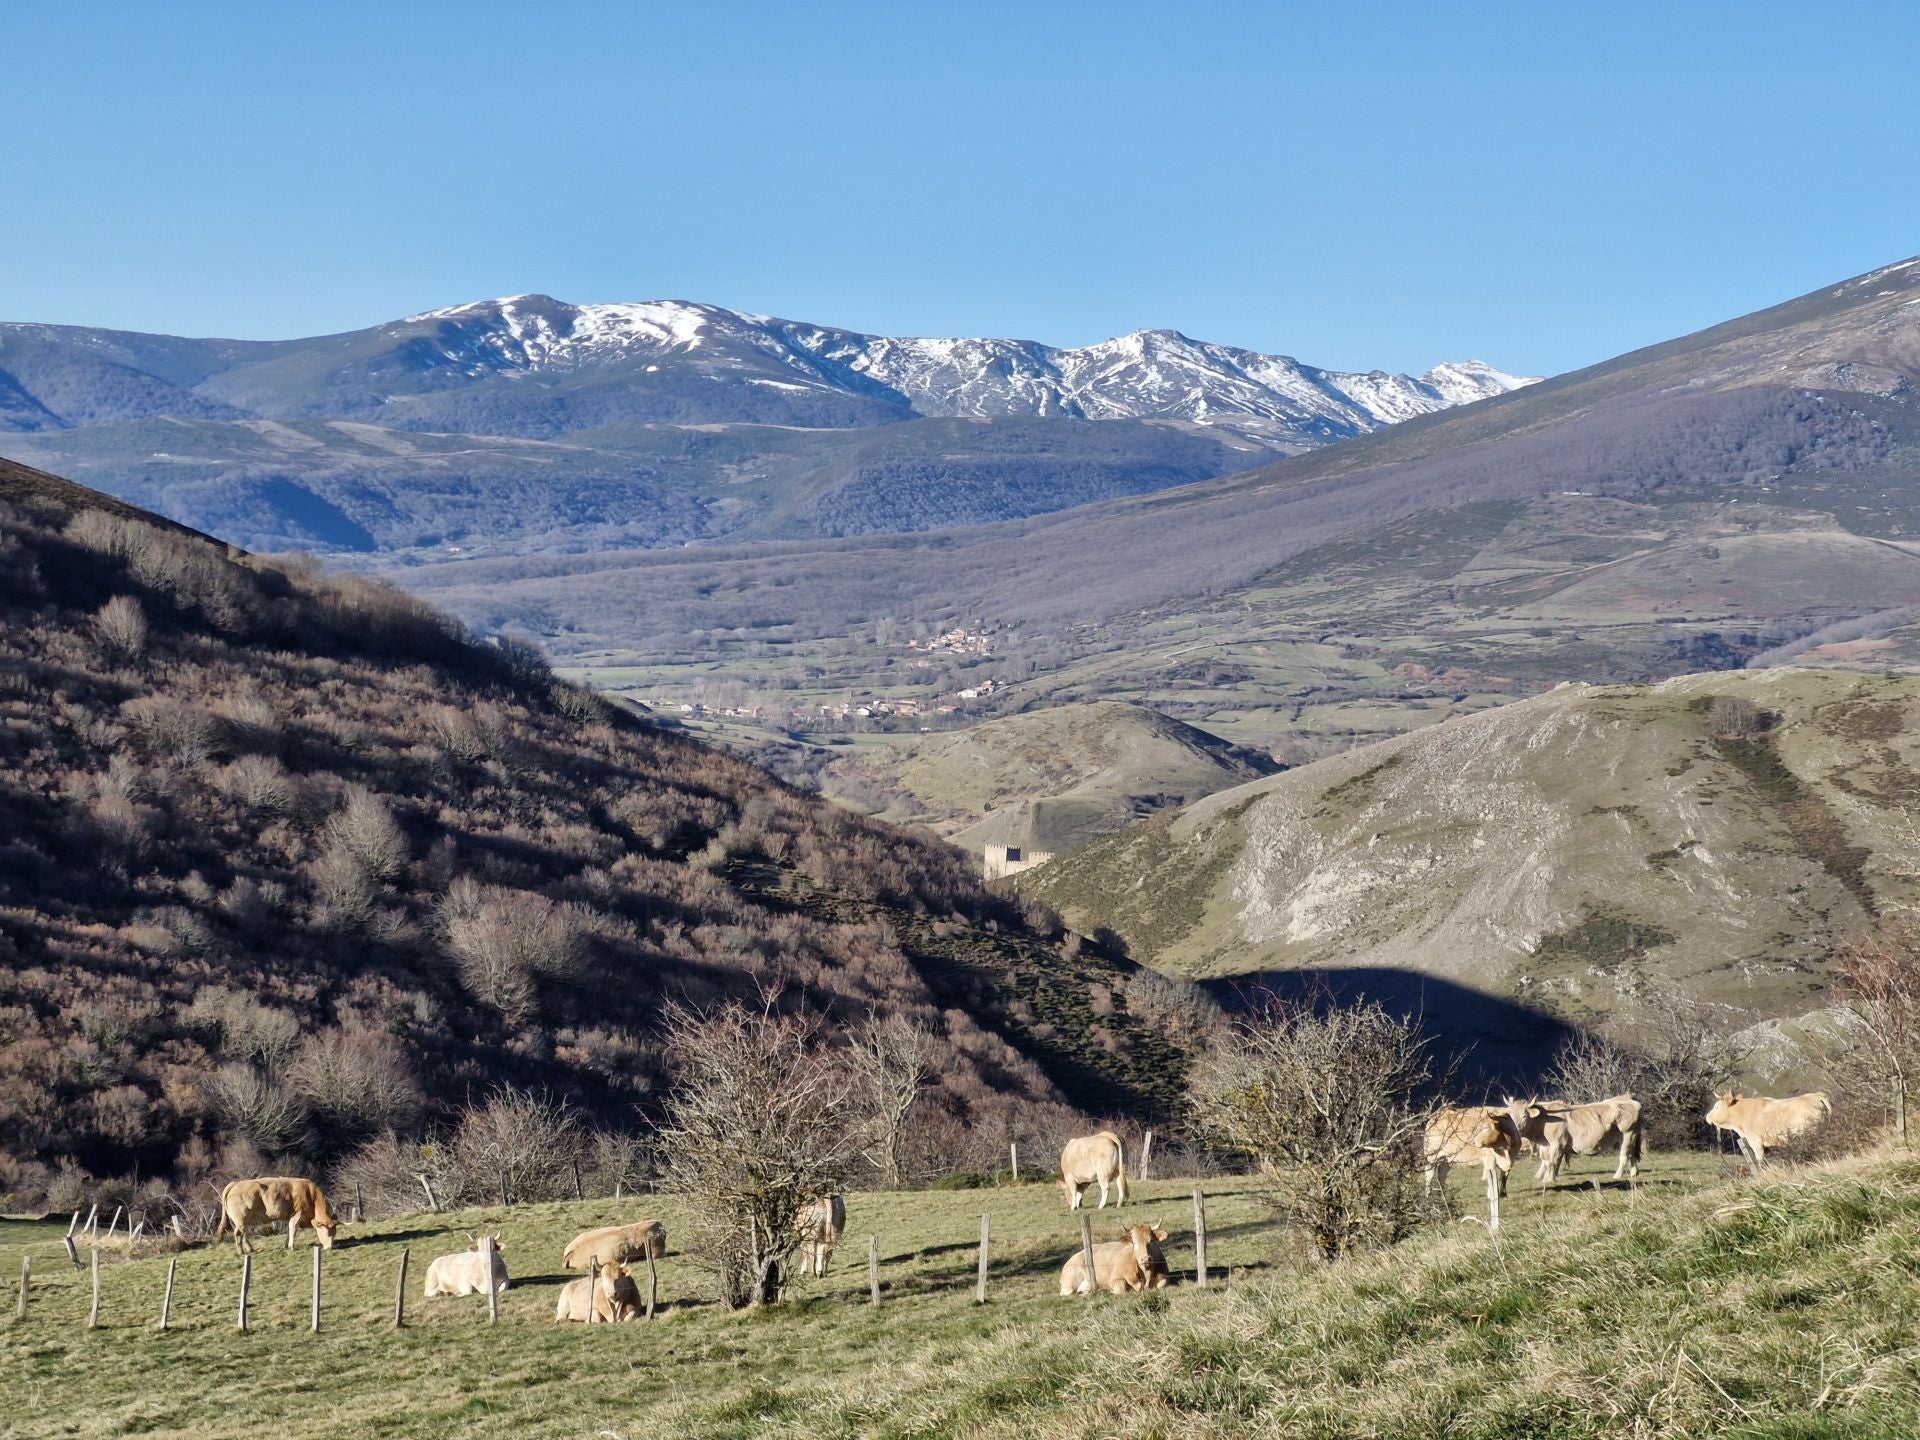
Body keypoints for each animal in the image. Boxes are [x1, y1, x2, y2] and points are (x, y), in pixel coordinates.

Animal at [213, 1175, 341, 1259]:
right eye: (327, 1233)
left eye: (335, 1234)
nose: (330, 1248)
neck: (311, 1196)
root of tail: (235, 1184)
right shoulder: (297, 1214)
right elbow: (293, 1230)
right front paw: (291, 1247)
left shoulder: (290, 1217)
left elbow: (289, 1230)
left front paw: (286, 1245)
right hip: (241, 1219)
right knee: (238, 1234)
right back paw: (241, 1252)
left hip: (244, 1221)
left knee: (244, 1234)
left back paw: (250, 1249)